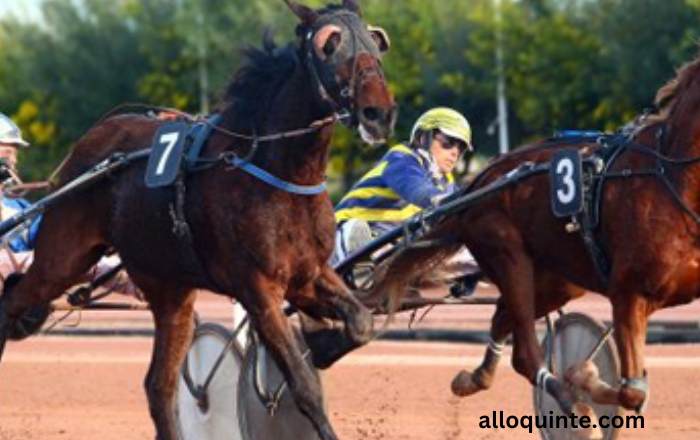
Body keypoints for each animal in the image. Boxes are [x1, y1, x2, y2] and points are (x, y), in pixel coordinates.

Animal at [0, 0, 396, 440]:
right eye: (329, 45)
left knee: (159, 385)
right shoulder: (257, 288)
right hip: (62, 258)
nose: (377, 112)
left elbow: (361, 321)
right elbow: (304, 385)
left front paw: (325, 343)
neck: (277, 172)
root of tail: (90, 144)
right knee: (12, 300)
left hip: (168, 286)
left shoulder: (308, 274)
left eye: (376, 42)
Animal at [378, 48, 700, 434]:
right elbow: (633, 392)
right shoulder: (628, 291)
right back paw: (572, 406)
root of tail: (477, 184)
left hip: (557, 278)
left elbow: (634, 392)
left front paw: (584, 377)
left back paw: (473, 379)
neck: (670, 176)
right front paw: (583, 380)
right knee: (526, 356)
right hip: (507, 253)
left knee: (504, 318)